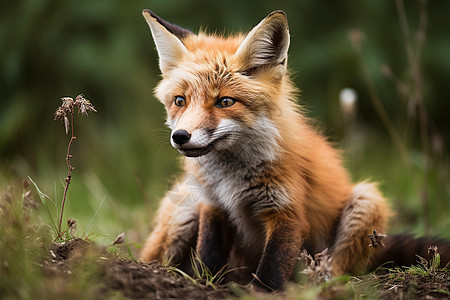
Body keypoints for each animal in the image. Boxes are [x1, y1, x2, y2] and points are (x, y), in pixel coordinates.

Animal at [139, 9, 448, 290]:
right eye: (180, 100)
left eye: (225, 102)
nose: (180, 136)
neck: (231, 179)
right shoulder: (212, 206)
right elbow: (209, 256)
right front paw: (206, 285)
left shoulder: (286, 211)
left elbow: (272, 268)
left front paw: (262, 292)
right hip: (184, 209)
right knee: (152, 257)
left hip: (365, 200)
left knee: (336, 269)